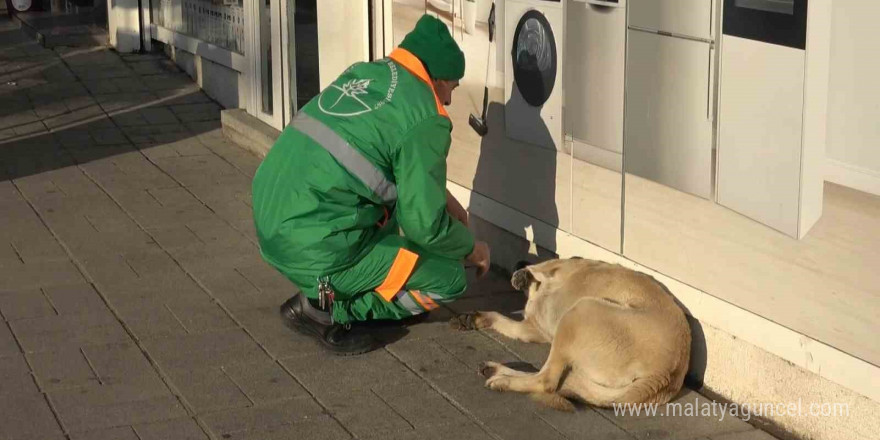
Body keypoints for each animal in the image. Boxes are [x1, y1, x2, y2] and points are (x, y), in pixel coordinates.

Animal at [454, 258, 696, 412]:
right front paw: (477, 318)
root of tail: (666, 374)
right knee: (558, 380)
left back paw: (503, 380)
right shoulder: (533, 328)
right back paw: (496, 370)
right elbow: (504, 320)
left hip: (580, 311)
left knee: (547, 381)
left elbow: (543, 267)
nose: (519, 267)